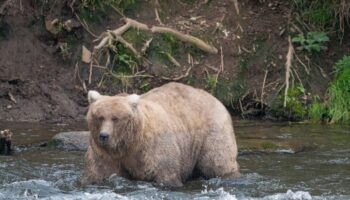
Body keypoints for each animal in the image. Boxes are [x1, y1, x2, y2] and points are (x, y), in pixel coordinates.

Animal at [81, 81, 239, 186]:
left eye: (115, 118)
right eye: (100, 117)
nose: (104, 136)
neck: (129, 143)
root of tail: (215, 98)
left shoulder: (153, 148)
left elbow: (166, 173)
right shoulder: (105, 154)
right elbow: (99, 172)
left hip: (212, 131)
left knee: (216, 161)